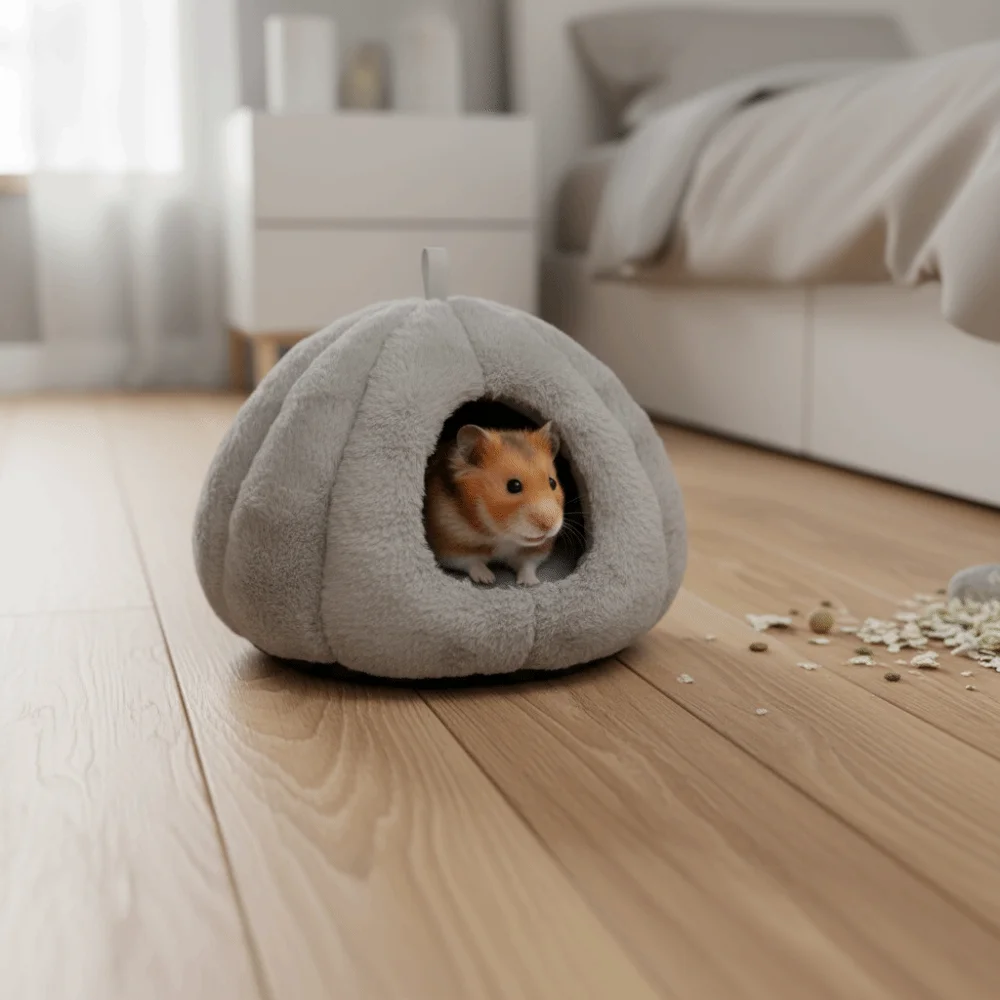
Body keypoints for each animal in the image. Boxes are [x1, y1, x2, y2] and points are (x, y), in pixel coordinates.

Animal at [425, 422, 565, 586]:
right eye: (514, 486)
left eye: (552, 482)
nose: (548, 526)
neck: (502, 535)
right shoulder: (450, 543)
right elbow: (471, 562)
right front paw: (488, 579)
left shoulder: (536, 550)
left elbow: (528, 564)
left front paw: (530, 583)